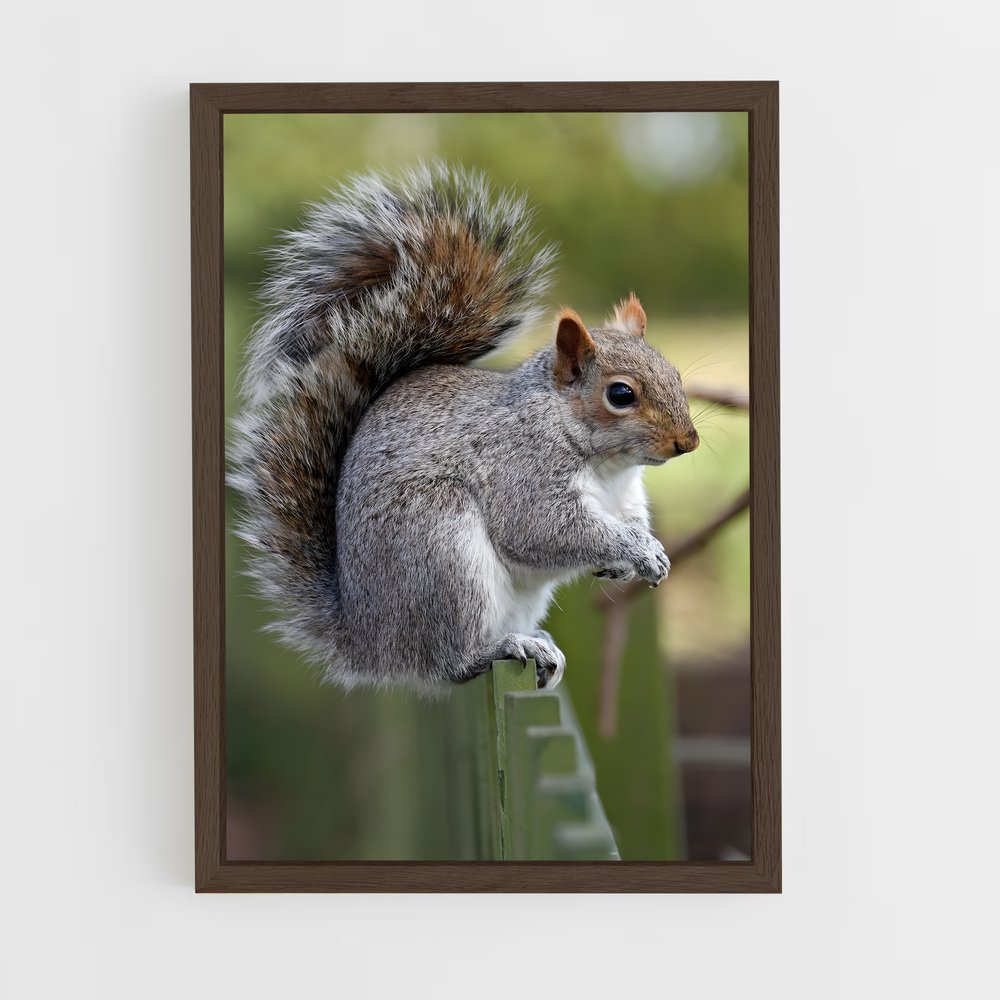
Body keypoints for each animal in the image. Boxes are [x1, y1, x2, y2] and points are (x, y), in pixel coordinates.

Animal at [230, 163, 699, 693]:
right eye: (620, 394)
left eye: (674, 373)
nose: (688, 442)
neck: (607, 465)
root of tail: (368, 643)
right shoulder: (524, 469)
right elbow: (544, 528)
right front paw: (632, 550)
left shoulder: (625, 498)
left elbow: (629, 521)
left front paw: (646, 552)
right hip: (442, 550)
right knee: (449, 663)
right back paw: (503, 647)